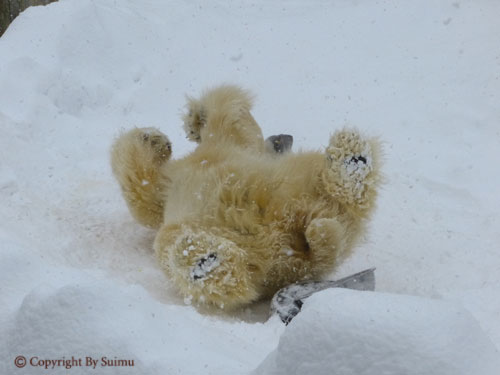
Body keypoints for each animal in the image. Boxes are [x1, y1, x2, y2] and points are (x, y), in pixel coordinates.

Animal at [111, 86, 380, 312]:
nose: (285, 137)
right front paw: (158, 138)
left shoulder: (226, 144)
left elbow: (229, 108)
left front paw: (183, 125)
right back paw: (205, 262)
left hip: (292, 182)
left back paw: (352, 160)